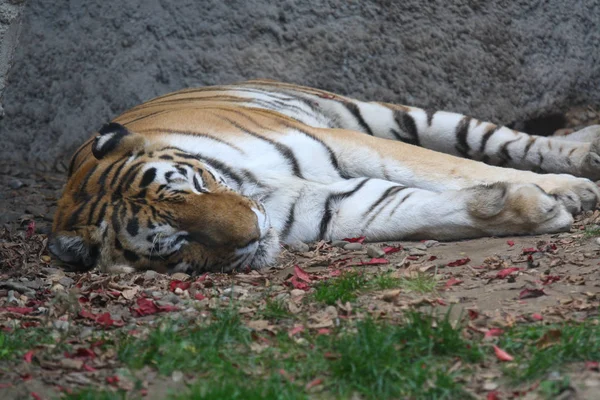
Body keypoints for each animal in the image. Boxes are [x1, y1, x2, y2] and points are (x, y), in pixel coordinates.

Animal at [50, 80, 600, 276]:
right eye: (177, 241)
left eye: (197, 184)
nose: (255, 230)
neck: (254, 192)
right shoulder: (322, 209)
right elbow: (402, 205)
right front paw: (533, 207)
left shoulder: (341, 141)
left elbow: (455, 168)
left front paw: (568, 191)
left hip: (387, 114)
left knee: (502, 140)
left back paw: (586, 156)